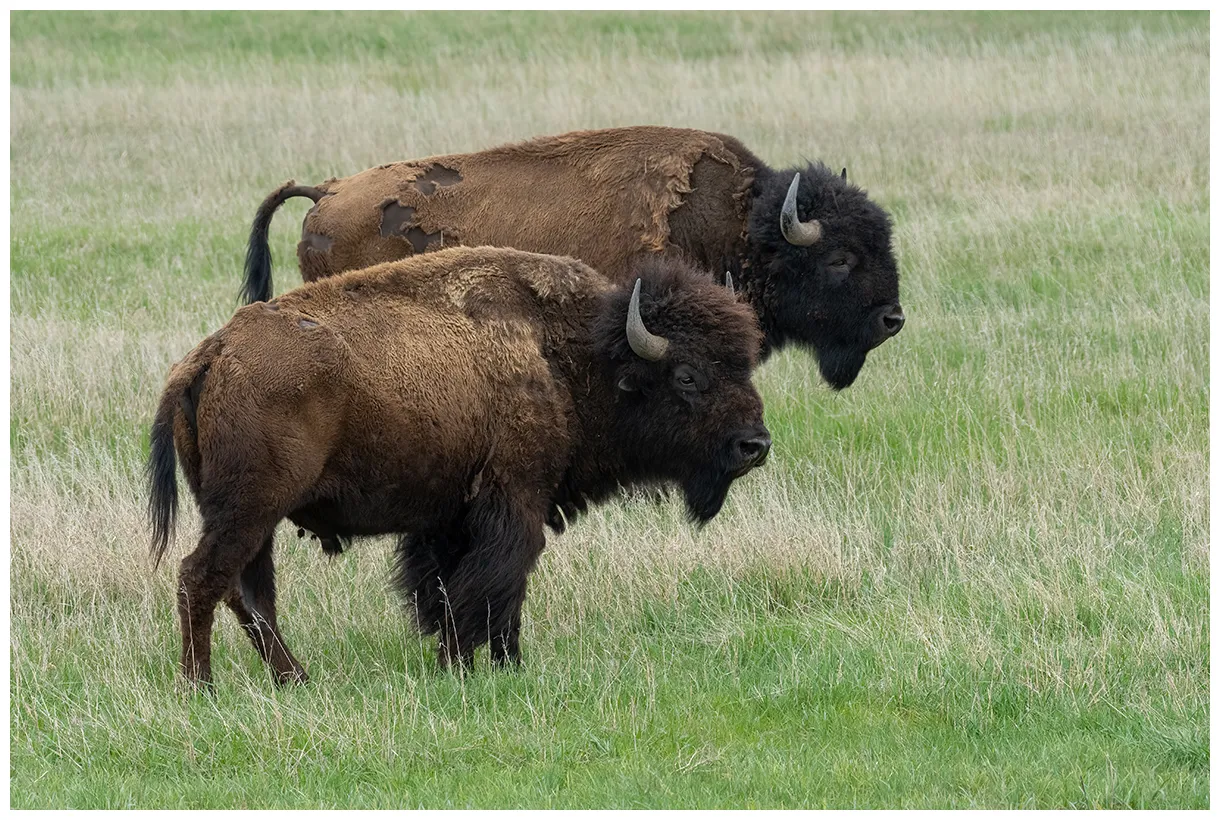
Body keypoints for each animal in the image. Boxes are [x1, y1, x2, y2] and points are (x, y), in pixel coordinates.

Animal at [149, 247, 770, 685]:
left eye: (744, 364)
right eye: (687, 375)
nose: (755, 444)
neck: (570, 354)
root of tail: (211, 354)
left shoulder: (450, 517)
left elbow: (454, 589)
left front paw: (494, 664)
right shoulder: (516, 500)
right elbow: (496, 580)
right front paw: (466, 663)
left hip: (250, 518)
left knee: (249, 595)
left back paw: (295, 679)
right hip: (250, 510)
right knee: (202, 578)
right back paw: (199, 688)